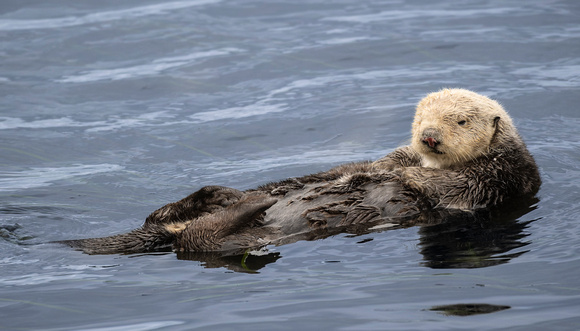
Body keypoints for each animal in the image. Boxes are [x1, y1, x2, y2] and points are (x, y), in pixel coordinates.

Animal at [61, 88, 540, 254]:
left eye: (460, 121)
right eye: (422, 116)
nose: (429, 137)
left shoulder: (497, 179)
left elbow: (439, 184)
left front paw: (401, 178)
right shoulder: (399, 155)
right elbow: (374, 165)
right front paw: (372, 171)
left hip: (238, 241)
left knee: (201, 242)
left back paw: (248, 201)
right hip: (181, 221)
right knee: (163, 217)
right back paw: (226, 193)